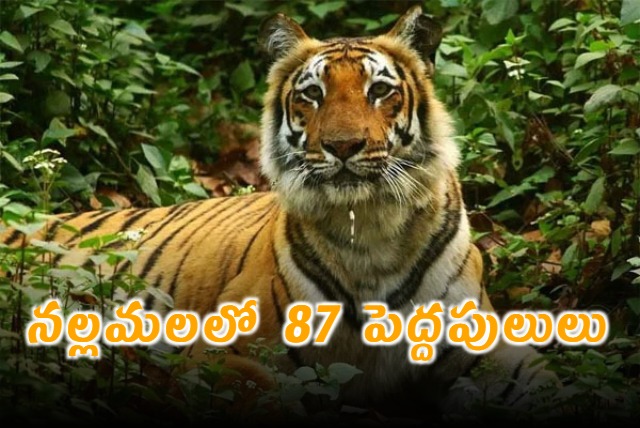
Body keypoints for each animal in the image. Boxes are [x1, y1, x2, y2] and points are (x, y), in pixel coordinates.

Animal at [1, 6, 558, 422]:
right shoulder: (225, 353)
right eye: (312, 94)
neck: (370, 229)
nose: (343, 146)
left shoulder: (484, 349)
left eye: (380, 90)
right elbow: (269, 396)